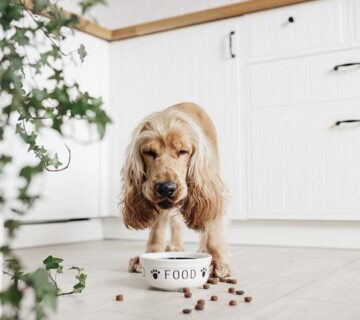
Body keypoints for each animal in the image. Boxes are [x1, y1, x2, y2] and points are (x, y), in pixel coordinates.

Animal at [120, 103, 231, 278]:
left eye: (182, 151)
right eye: (149, 152)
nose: (166, 188)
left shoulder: (212, 189)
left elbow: (213, 226)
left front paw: (218, 261)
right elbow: (157, 228)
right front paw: (151, 254)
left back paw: (203, 248)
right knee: (174, 222)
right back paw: (175, 246)